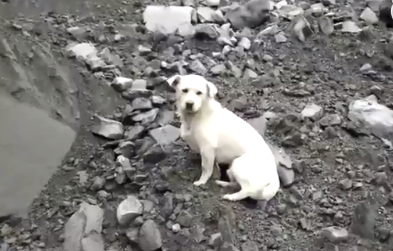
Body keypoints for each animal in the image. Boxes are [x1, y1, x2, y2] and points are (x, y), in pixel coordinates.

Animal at [165, 73, 278, 201]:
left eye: (199, 93)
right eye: (184, 90)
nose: (189, 103)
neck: (196, 116)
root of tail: (274, 175)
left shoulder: (207, 149)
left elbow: (206, 169)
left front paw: (201, 181)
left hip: (238, 165)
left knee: (247, 190)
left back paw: (231, 197)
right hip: (231, 169)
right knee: (236, 184)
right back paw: (223, 183)